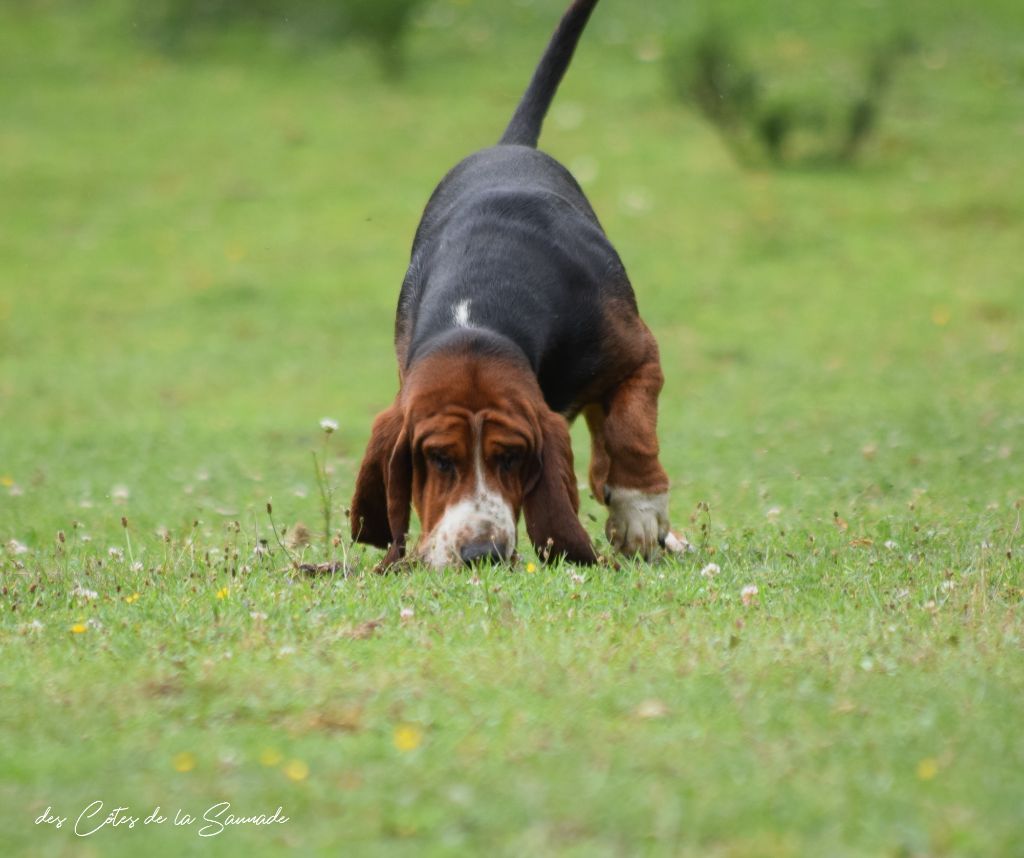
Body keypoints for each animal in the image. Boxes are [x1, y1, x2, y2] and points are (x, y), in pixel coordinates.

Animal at [348, 0, 675, 569]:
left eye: (513, 456)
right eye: (437, 459)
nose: (481, 552)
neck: (479, 313)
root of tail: (511, 143)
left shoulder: (639, 355)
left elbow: (632, 430)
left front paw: (639, 512)